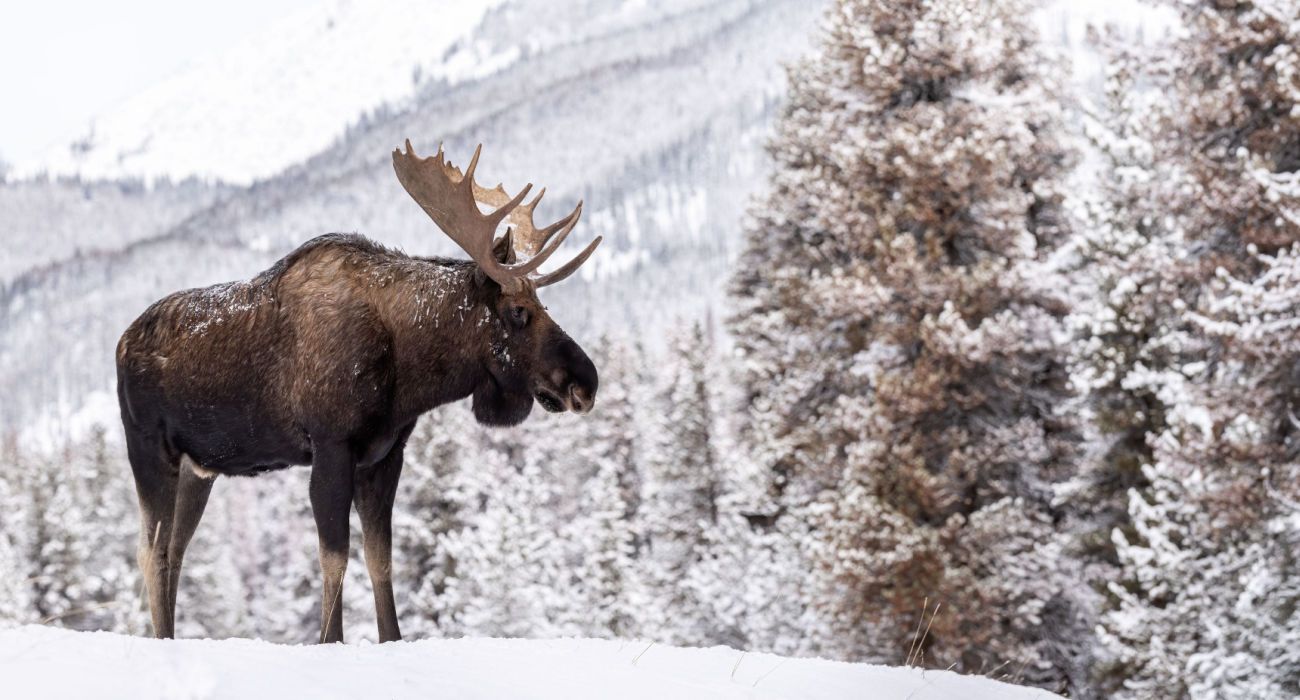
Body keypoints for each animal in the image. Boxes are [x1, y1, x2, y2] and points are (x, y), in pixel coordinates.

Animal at [114, 139, 600, 640]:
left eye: (543, 304)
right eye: (519, 311)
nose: (586, 382)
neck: (408, 370)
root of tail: (121, 343)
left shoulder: (384, 455)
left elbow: (380, 559)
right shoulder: (332, 445)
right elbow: (334, 560)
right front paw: (331, 640)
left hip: (200, 468)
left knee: (175, 551)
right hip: (149, 449)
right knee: (150, 552)